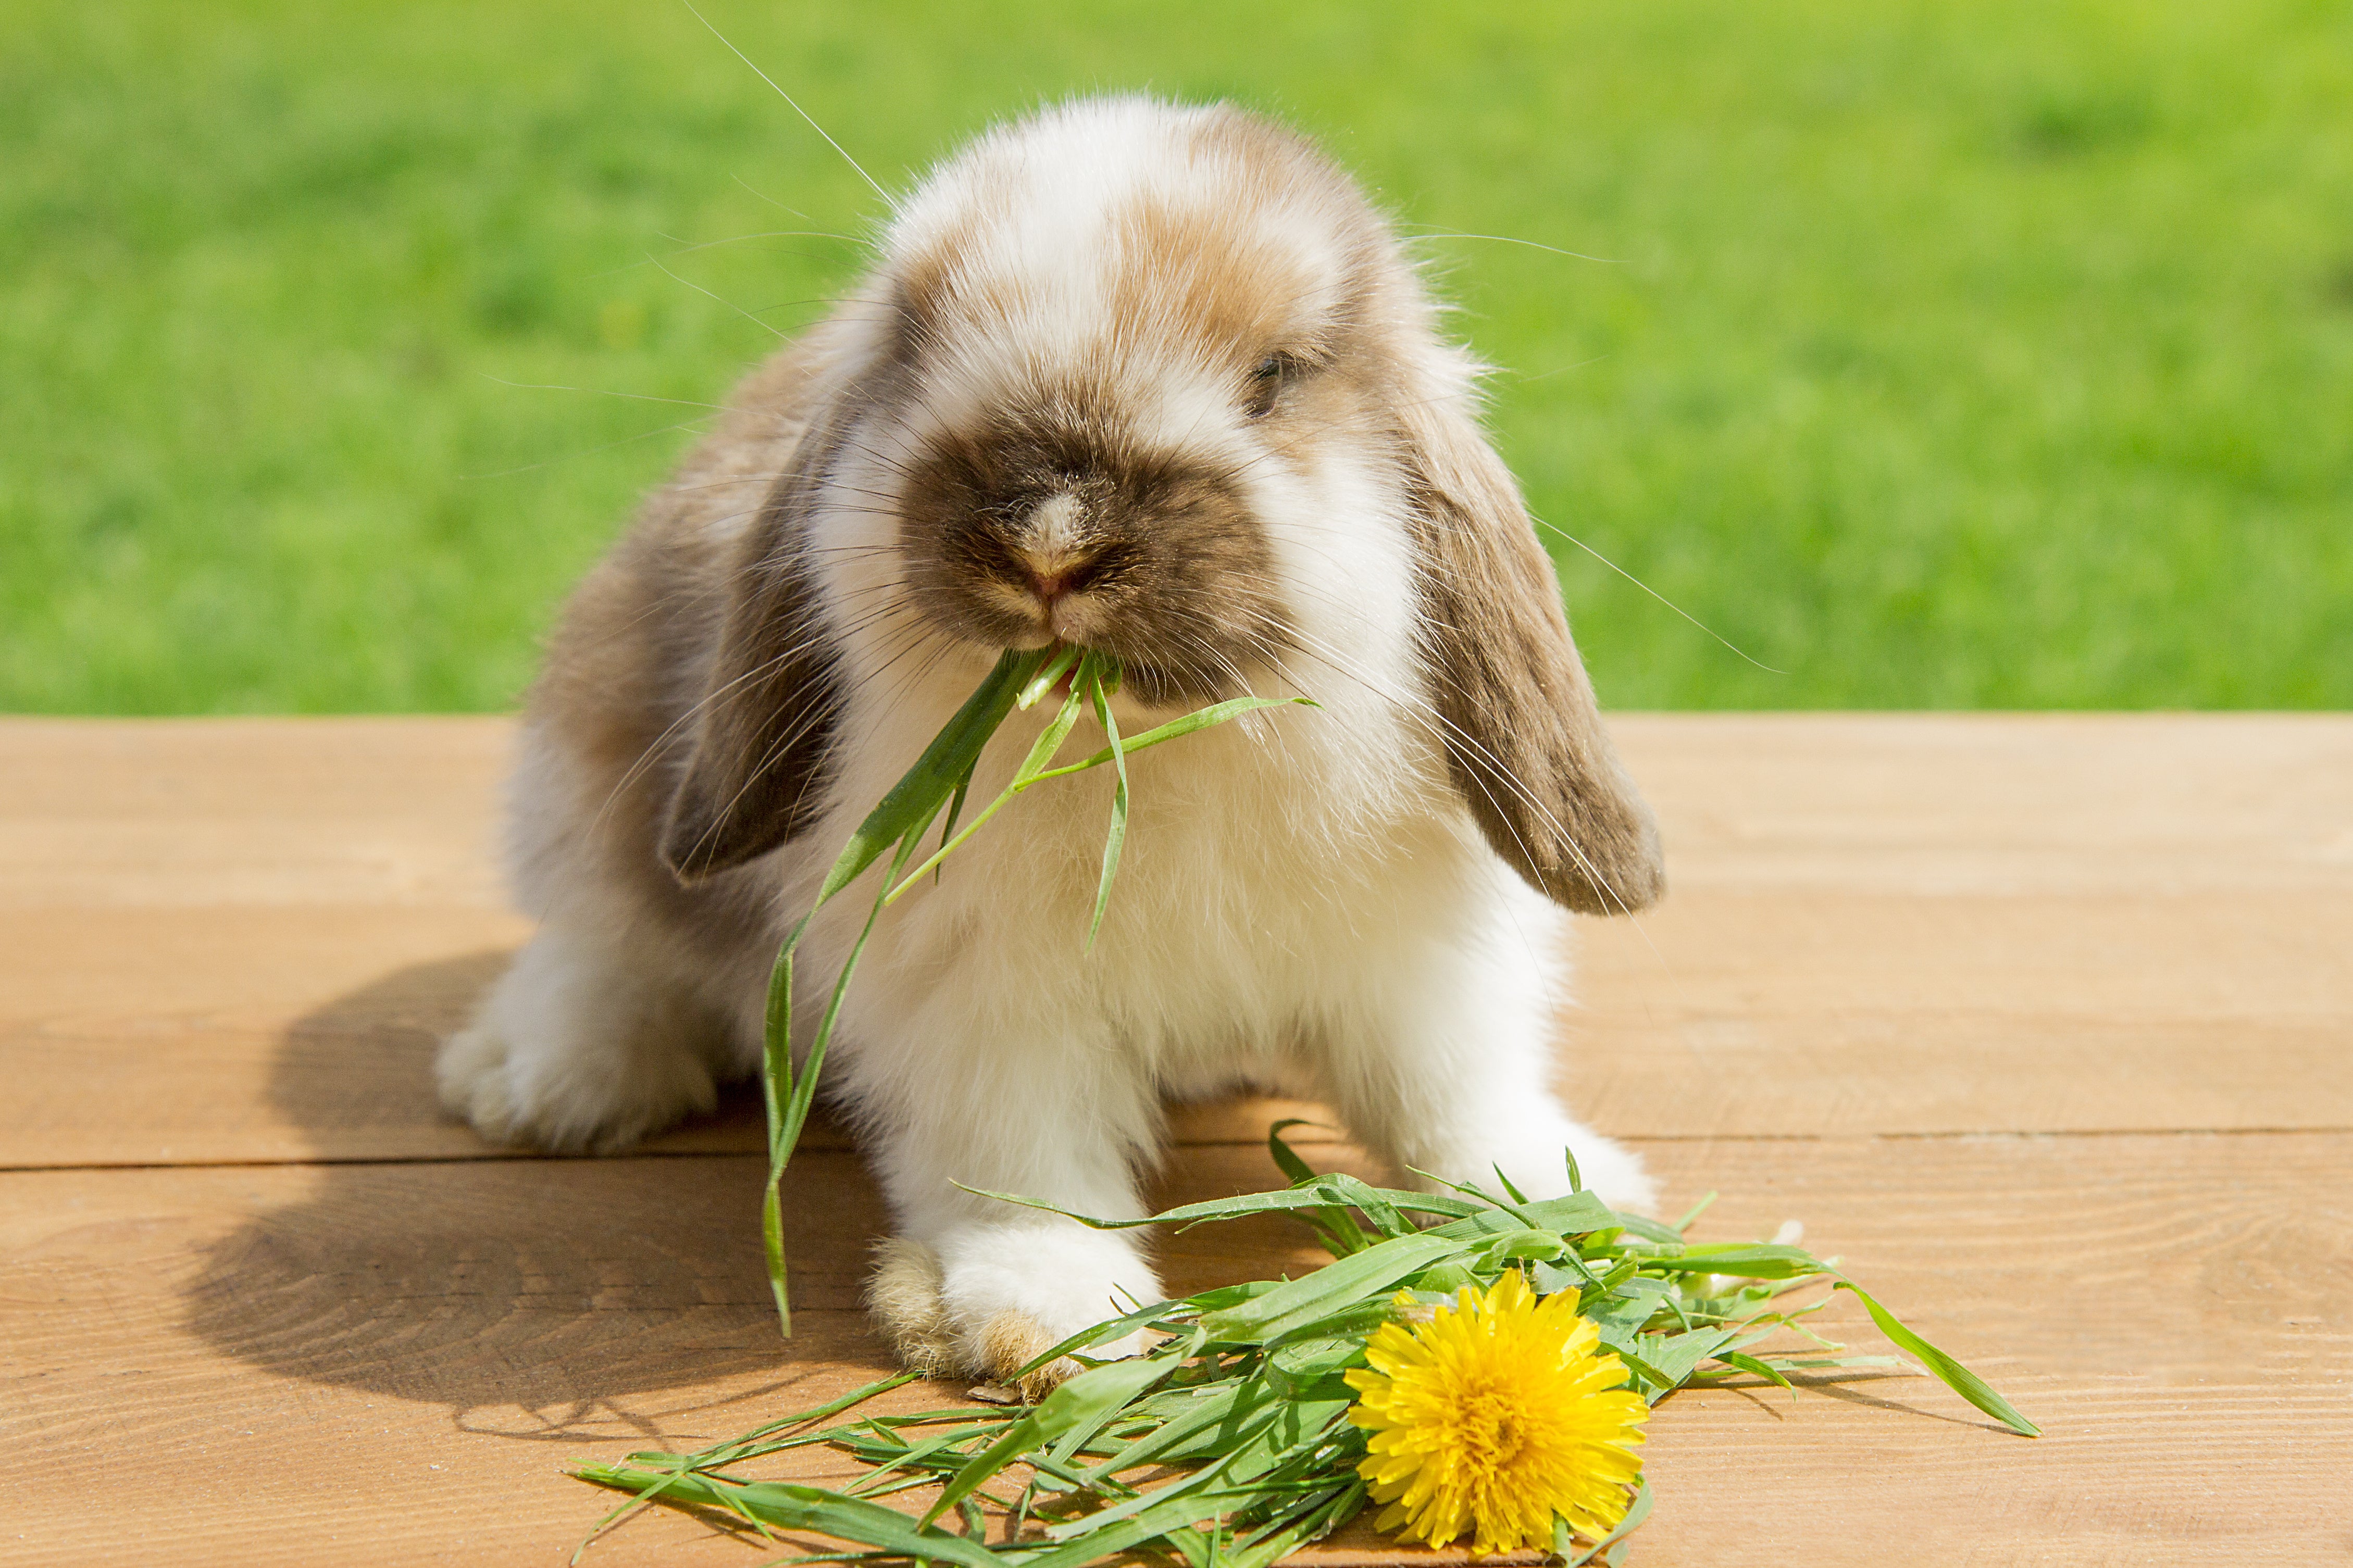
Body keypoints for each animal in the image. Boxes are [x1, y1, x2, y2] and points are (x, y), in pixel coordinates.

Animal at [438, 96, 1666, 1395]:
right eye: (915, 341)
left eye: (1274, 376)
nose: (1051, 539)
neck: (1156, 746)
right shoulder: (975, 989)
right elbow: (1019, 1158)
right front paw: (1052, 1317)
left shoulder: (1421, 960)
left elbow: (1451, 1092)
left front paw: (1571, 1206)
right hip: (583, 771)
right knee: (605, 940)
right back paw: (541, 1084)